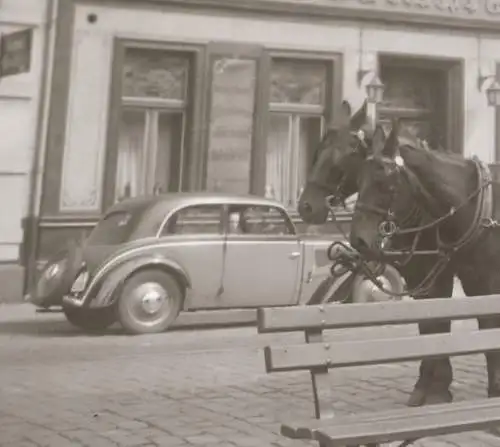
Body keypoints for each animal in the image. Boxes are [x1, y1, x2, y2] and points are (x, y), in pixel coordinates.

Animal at [300, 103, 468, 408]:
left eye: (344, 156)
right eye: (318, 151)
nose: (305, 207)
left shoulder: (436, 276)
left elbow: (437, 322)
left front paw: (437, 387)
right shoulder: (418, 278)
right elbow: (429, 324)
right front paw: (426, 385)